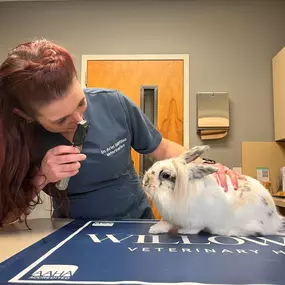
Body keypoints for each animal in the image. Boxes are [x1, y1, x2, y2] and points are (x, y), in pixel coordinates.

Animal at [141, 144, 282, 235]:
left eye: (165, 175)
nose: (144, 182)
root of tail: (275, 216)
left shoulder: (196, 220)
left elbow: (194, 228)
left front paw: (183, 231)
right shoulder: (172, 218)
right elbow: (166, 224)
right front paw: (154, 229)